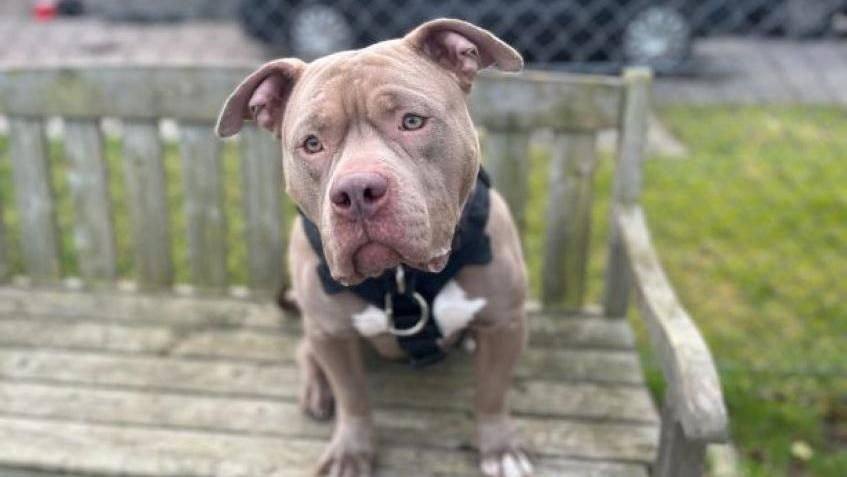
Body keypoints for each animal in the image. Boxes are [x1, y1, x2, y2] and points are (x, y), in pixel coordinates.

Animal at [215, 18, 528, 476]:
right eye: (312, 143)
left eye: (412, 121)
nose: (356, 191)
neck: (401, 274)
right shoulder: (331, 334)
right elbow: (354, 399)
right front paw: (350, 452)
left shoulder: (506, 322)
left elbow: (491, 392)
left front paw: (499, 447)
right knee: (305, 349)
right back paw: (316, 390)